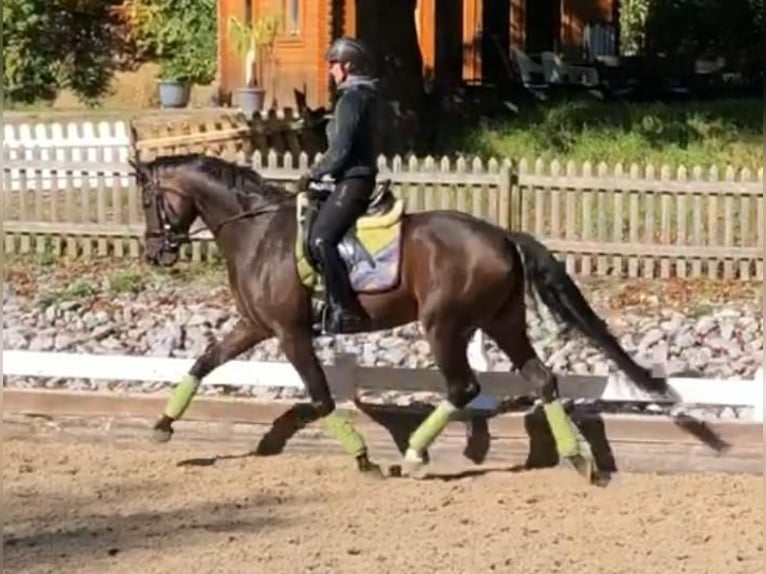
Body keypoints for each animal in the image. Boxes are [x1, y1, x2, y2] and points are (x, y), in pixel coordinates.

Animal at [130, 154, 680, 486]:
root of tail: (502, 234)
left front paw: (363, 458)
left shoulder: (289, 333)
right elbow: (203, 363)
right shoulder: (255, 326)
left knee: (462, 387)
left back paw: (414, 455)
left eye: (148, 199)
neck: (259, 233)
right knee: (541, 379)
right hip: (501, 322)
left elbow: (320, 395)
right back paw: (579, 460)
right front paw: (161, 426)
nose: (156, 252)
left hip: (444, 325)